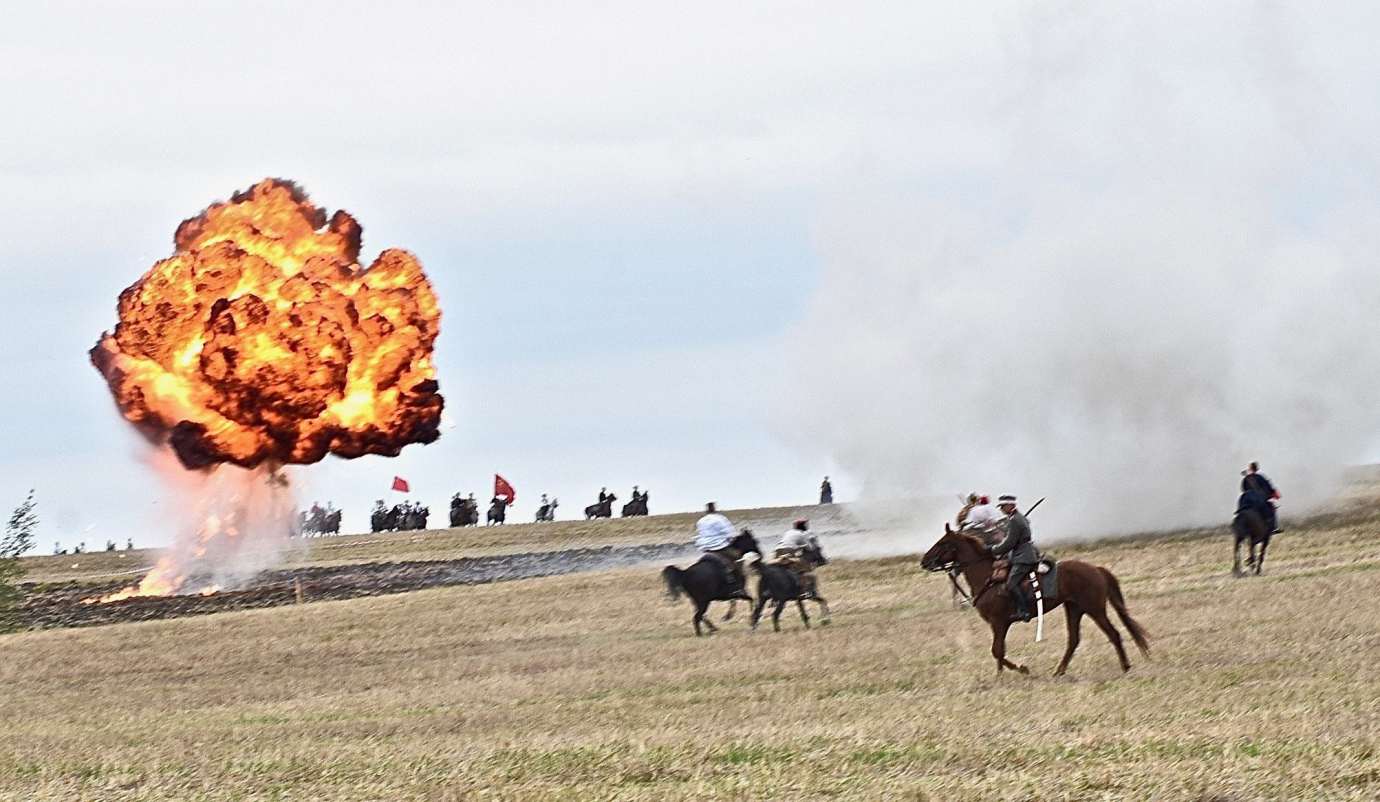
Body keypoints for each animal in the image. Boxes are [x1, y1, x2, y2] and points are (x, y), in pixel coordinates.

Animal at [921, 524, 1148, 676]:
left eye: (942, 543)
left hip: (1094, 609)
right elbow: (999, 651)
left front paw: (1017, 670)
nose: (924, 561)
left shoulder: (998, 622)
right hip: (1074, 608)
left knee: (1113, 634)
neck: (987, 576)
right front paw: (1006, 673)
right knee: (1074, 640)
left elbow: (997, 650)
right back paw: (1059, 671)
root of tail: (1096, 569)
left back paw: (1125, 666)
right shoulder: (999, 625)